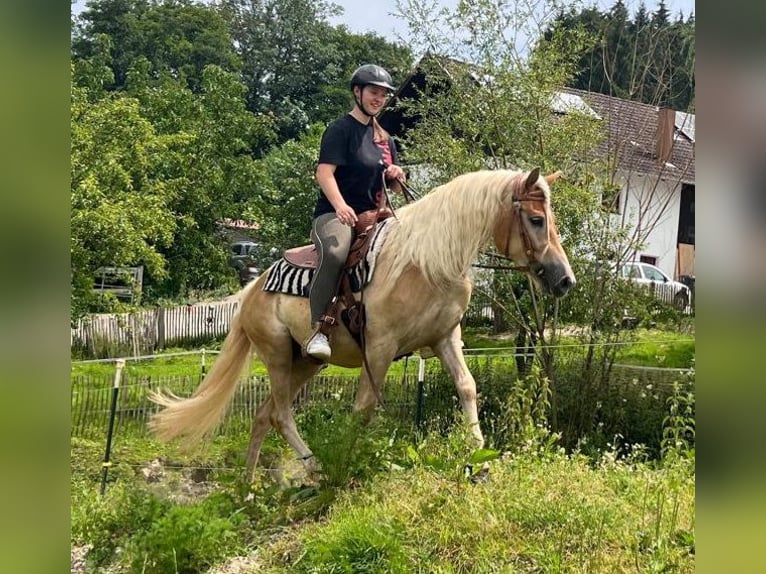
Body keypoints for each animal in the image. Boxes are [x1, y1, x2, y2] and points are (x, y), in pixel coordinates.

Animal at [152, 169, 576, 484]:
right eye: (536, 220)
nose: (565, 280)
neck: (427, 261)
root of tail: (252, 289)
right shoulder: (380, 348)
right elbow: (364, 409)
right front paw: (347, 466)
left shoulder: (445, 338)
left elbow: (467, 388)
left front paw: (480, 459)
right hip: (276, 356)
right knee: (281, 415)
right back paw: (315, 468)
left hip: (305, 362)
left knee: (263, 414)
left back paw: (249, 487)